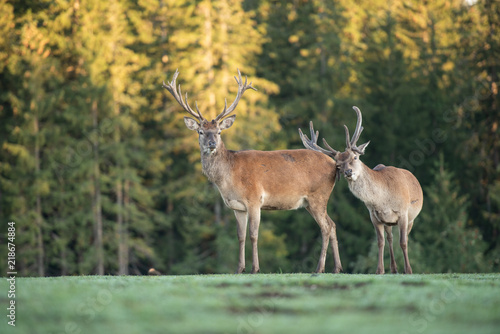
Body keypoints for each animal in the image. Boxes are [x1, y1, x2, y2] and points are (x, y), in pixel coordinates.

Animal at [162, 70, 342, 274]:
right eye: (200, 131)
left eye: (218, 131)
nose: (212, 144)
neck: (228, 179)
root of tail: (334, 165)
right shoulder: (237, 206)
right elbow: (240, 236)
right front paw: (239, 268)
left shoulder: (255, 199)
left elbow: (253, 235)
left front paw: (255, 268)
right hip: (311, 202)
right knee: (333, 225)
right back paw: (337, 268)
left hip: (318, 196)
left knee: (326, 227)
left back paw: (319, 268)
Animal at [298, 107, 424, 274]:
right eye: (338, 165)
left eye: (355, 157)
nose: (348, 172)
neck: (384, 200)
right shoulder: (374, 216)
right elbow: (380, 242)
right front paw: (379, 270)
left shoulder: (403, 212)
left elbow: (403, 242)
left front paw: (409, 270)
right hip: (389, 223)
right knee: (390, 239)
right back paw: (393, 269)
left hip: (411, 218)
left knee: (404, 239)